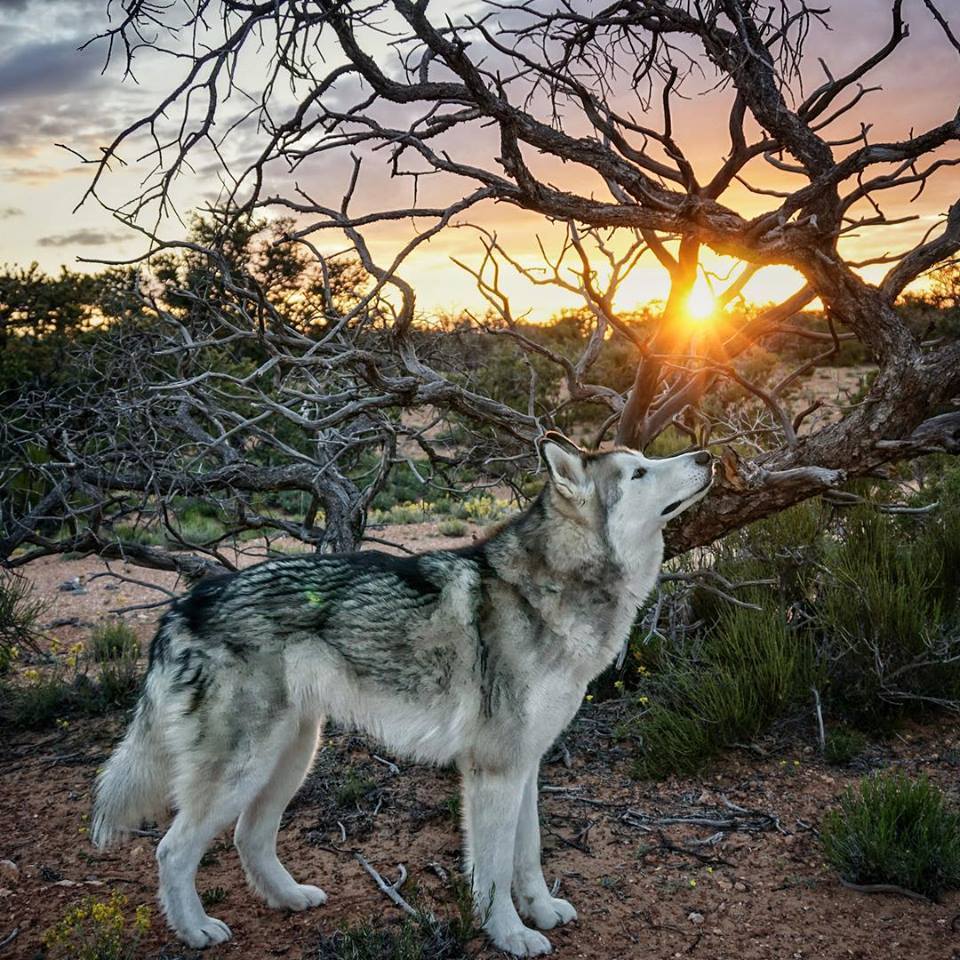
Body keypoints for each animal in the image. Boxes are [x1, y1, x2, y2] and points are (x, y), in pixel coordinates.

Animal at [92, 434, 712, 952]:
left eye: (648, 460)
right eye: (638, 473)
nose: (707, 456)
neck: (552, 589)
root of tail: (181, 606)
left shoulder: (525, 765)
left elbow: (528, 856)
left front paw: (540, 911)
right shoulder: (493, 769)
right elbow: (492, 870)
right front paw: (510, 935)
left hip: (291, 756)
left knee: (249, 837)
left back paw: (290, 899)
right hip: (244, 768)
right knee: (172, 850)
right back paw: (196, 930)